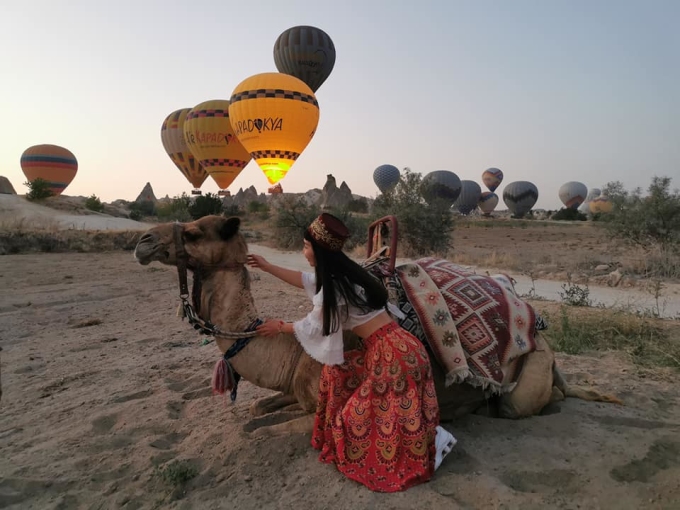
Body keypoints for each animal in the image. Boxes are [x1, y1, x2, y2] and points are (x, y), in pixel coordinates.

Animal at [134, 215, 620, 434]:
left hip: (526, 377)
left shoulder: (318, 397)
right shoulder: (293, 385)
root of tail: (538, 333)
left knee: (526, 403)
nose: (142, 240)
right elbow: (257, 408)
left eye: (194, 232)